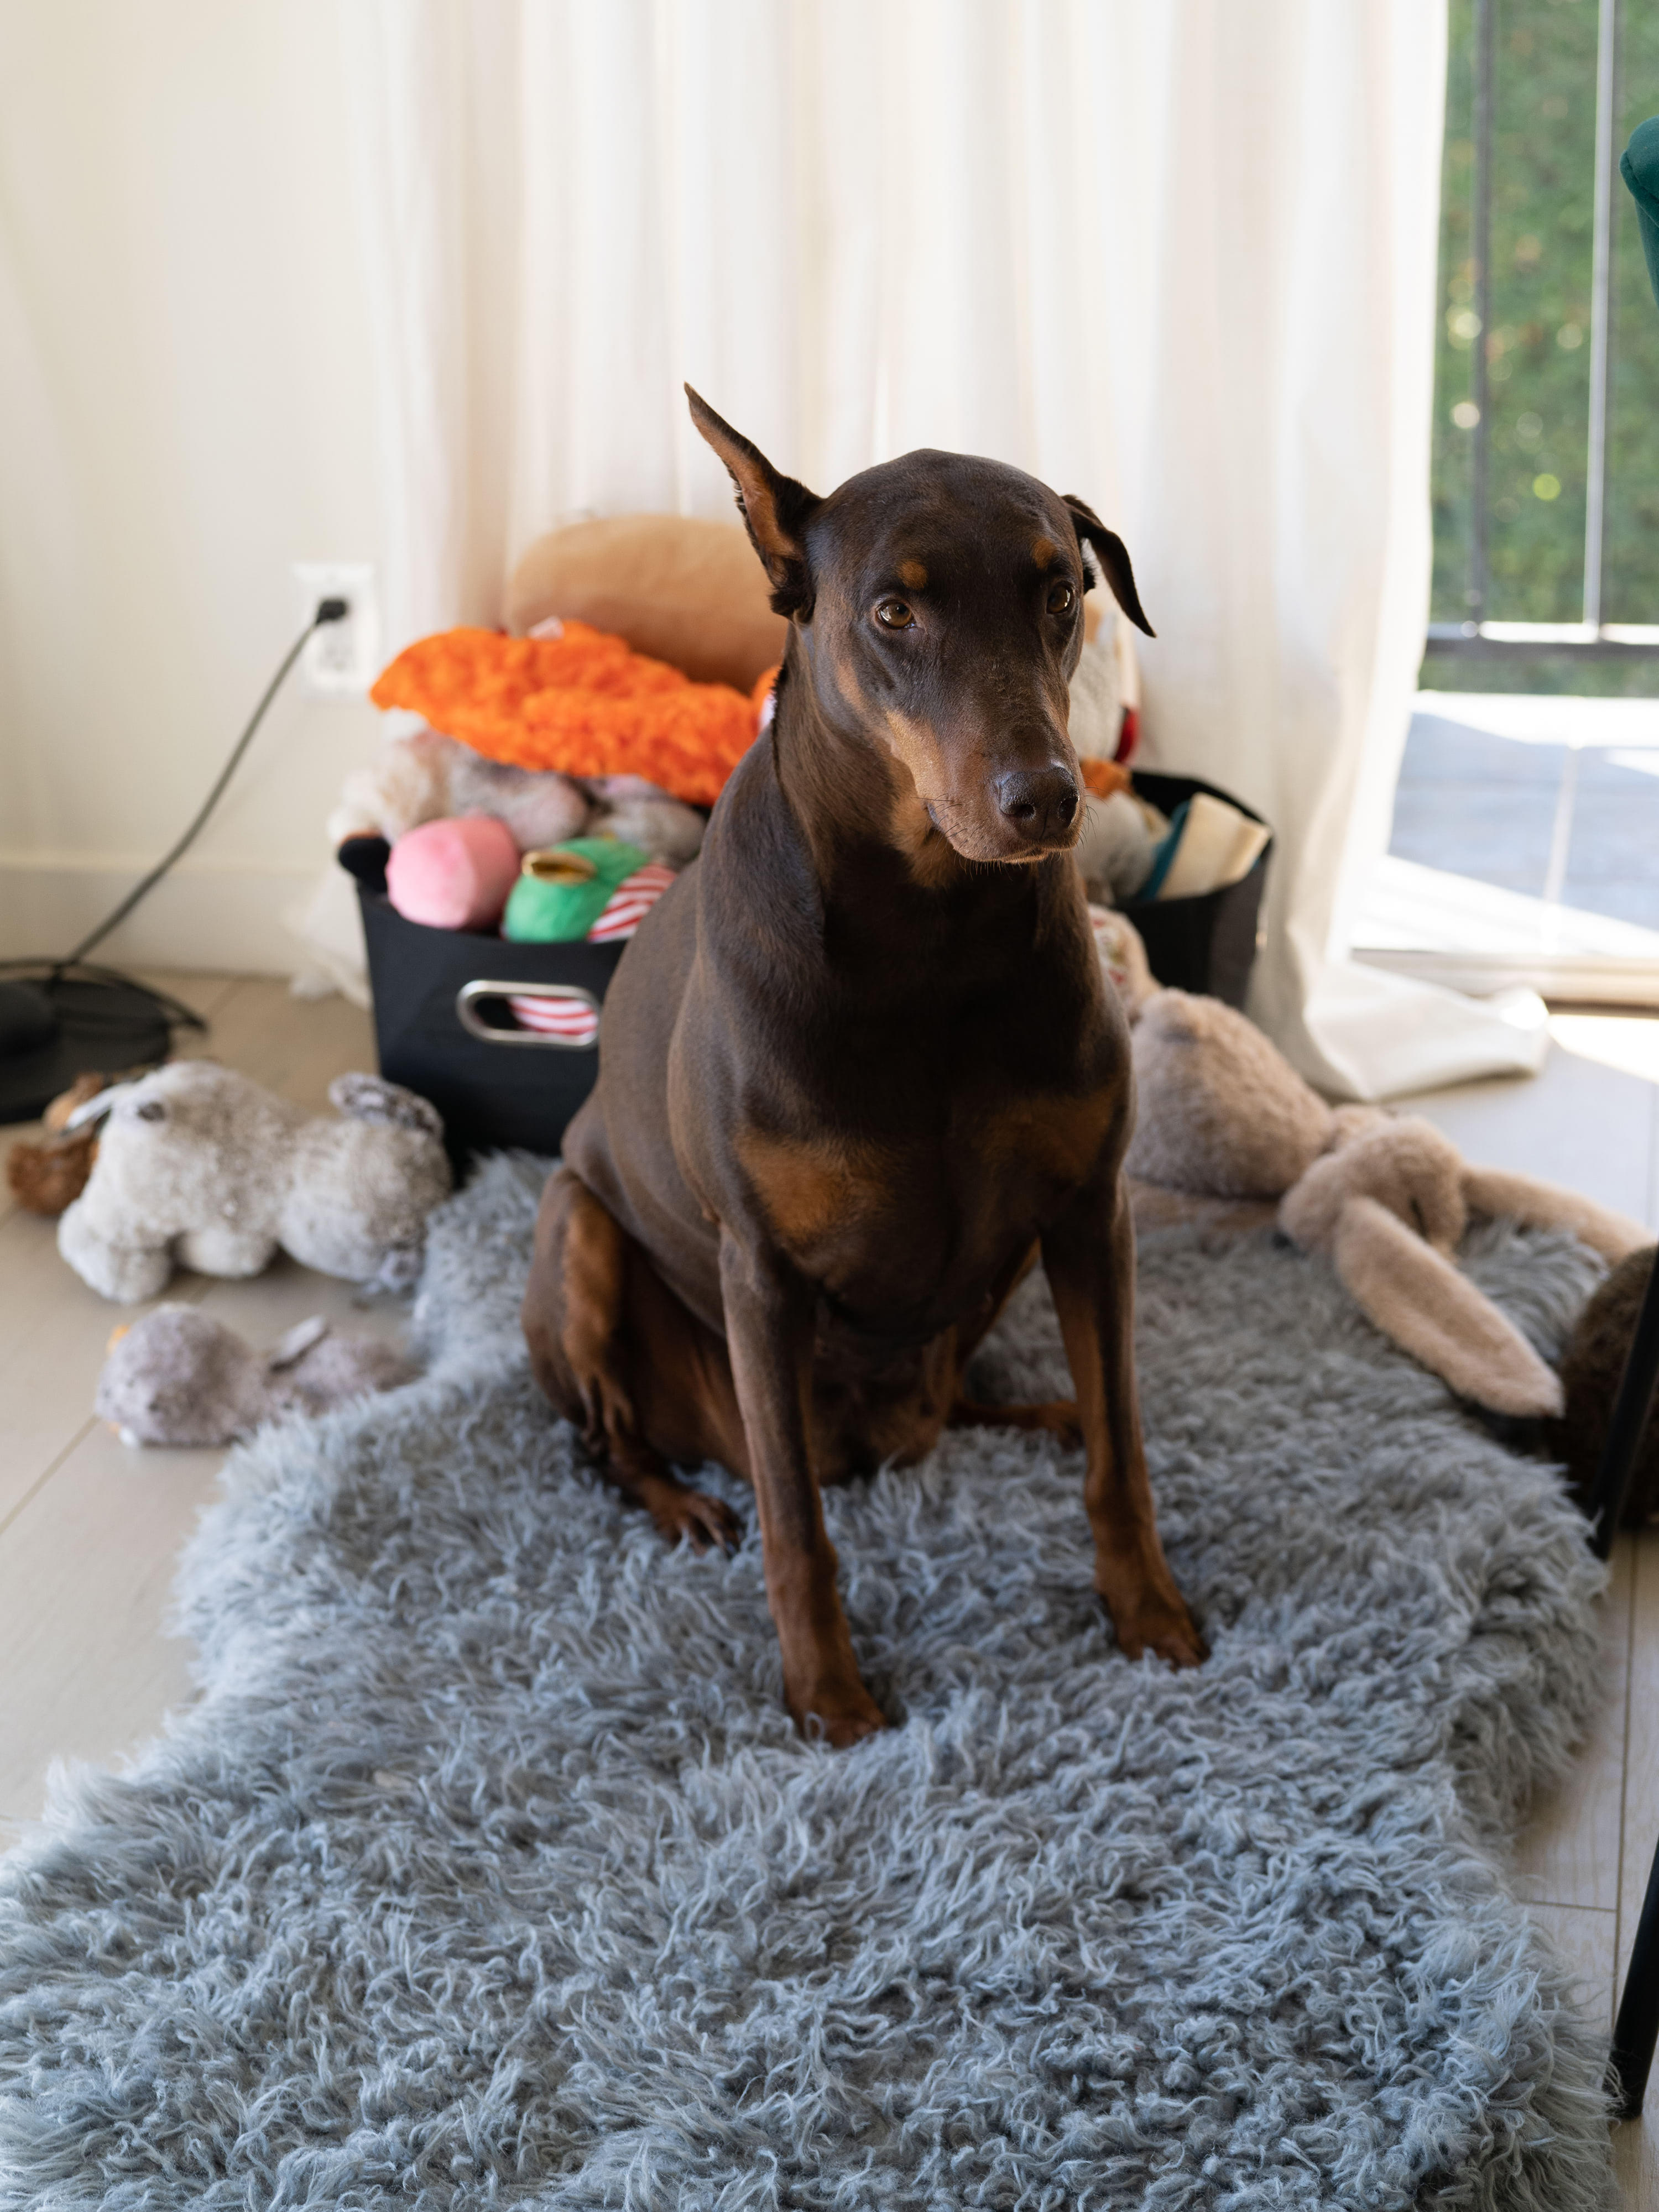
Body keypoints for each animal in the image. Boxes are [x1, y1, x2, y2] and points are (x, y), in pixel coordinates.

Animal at [526, 394, 1212, 1743]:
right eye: (895, 611)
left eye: (1063, 592)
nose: (1046, 798)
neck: (930, 933)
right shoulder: (762, 1274)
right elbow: (798, 1526)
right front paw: (830, 1697)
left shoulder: (1088, 1208)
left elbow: (1125, 1451)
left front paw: (1146, 1610)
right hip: (574, 1227)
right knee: (612, 1438)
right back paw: (683, 1504)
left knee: (980, 1403)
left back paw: (1041, 1411)